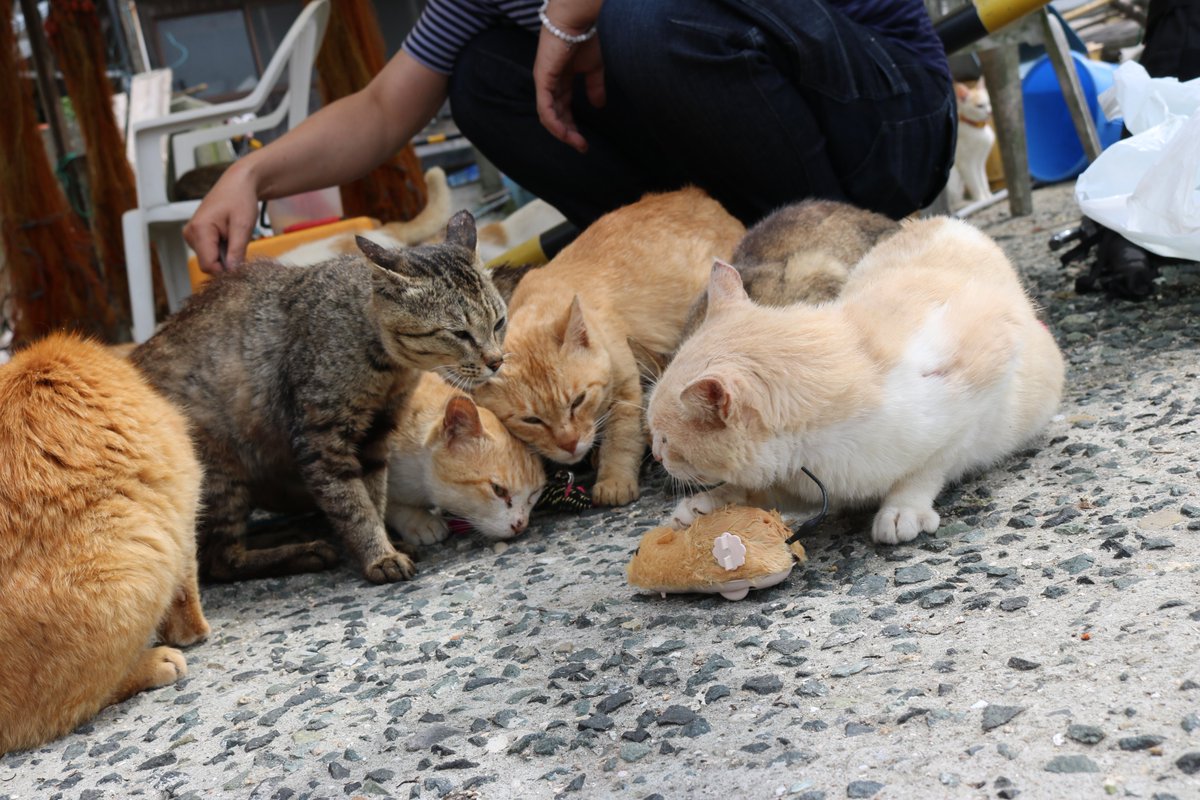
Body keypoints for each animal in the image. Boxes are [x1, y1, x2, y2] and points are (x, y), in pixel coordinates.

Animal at [0, 335, 210, 753]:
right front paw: (196, 633)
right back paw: (158, 662)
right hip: (137, 557)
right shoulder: (182, 503)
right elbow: (186, 594)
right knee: (59, 712)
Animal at [132, 209, 506, 585]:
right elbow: (353, 505)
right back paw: (305, 552)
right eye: (460, 333)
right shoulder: (322, 438)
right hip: (221, 474)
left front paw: (387, 542)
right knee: (218, 561)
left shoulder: (376, 434)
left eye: (499, 323)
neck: (387, 369)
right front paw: (380, 556)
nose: (496, 360)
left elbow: (373, 496)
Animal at [472, 185, 744, 506]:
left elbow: (621, 439)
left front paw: (614, 480)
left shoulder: (628, 389)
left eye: (578, 401)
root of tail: (695, 193)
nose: (570, 444)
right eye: (531, 420)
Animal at [652, 215, 1065, 546]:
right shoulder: (805, 484)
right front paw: (705, 505)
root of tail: (942, 220)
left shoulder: (982, 380)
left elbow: (927, 467)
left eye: (665, 439)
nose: (655, 455)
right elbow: (754, 490)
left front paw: (902, 509)